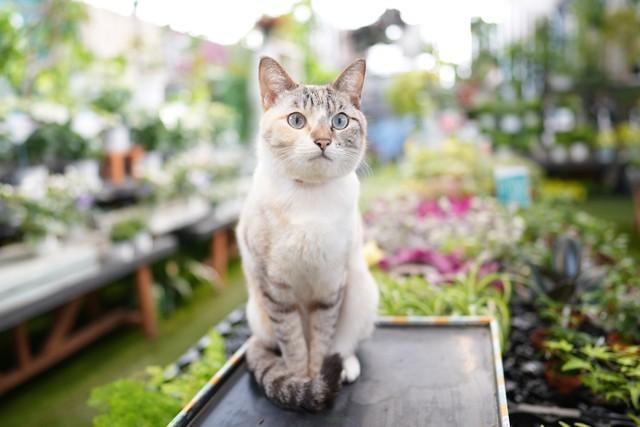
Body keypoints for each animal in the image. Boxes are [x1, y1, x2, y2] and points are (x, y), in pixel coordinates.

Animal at [239, 56, 380, 412]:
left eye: (339, 121)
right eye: (296, 120)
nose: (322, 141)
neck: (309, 198)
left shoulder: (330, 285)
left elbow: (321, 341)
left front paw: (318, 379)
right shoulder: (277, 290)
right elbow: (293, 348)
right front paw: (302, 382)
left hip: (361, 289)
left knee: (345, 343)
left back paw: (345, 368)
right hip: (258, 312)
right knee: (271, 347)